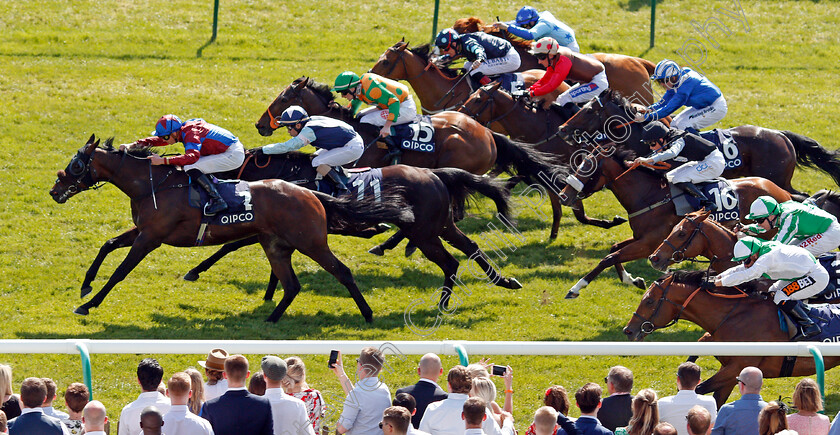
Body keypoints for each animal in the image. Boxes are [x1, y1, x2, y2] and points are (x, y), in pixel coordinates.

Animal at [49, 136, 414, 324]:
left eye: (76, 165)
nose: (55, 190)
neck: (152, 184)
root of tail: (311, 192)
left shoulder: (151, 238)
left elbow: (121, 271)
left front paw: (88, 304)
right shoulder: (144, 231)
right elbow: (108, 243)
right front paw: (85, 285)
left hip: (310, 242)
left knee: (342, 271)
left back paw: (368, 314)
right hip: (276, 244)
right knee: (292, 285)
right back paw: (269, 320)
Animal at [180, 152, 520, 308]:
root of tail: (432, 172)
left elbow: (230, 245)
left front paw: (194, 271)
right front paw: (270, 292)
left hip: (424, 232)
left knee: (451, 261)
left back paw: (442, 303)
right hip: (440, 225)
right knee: (471, 247)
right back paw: (504, 280)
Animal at [556, 146, 796, 300]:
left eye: (587, 167)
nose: (563, 196)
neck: (650, 196)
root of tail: (782, 193)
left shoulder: (650, 244)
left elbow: (609, 257)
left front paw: (576, 288)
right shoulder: (642, 238)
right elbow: (614, 249)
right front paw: (633, 280)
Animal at [624, 272, 840, 408]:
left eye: (649, 301)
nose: (629, 331)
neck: (733, 317)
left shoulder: (739, 366)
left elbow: (700, 389)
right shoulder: (729, 369)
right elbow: (716, 399)